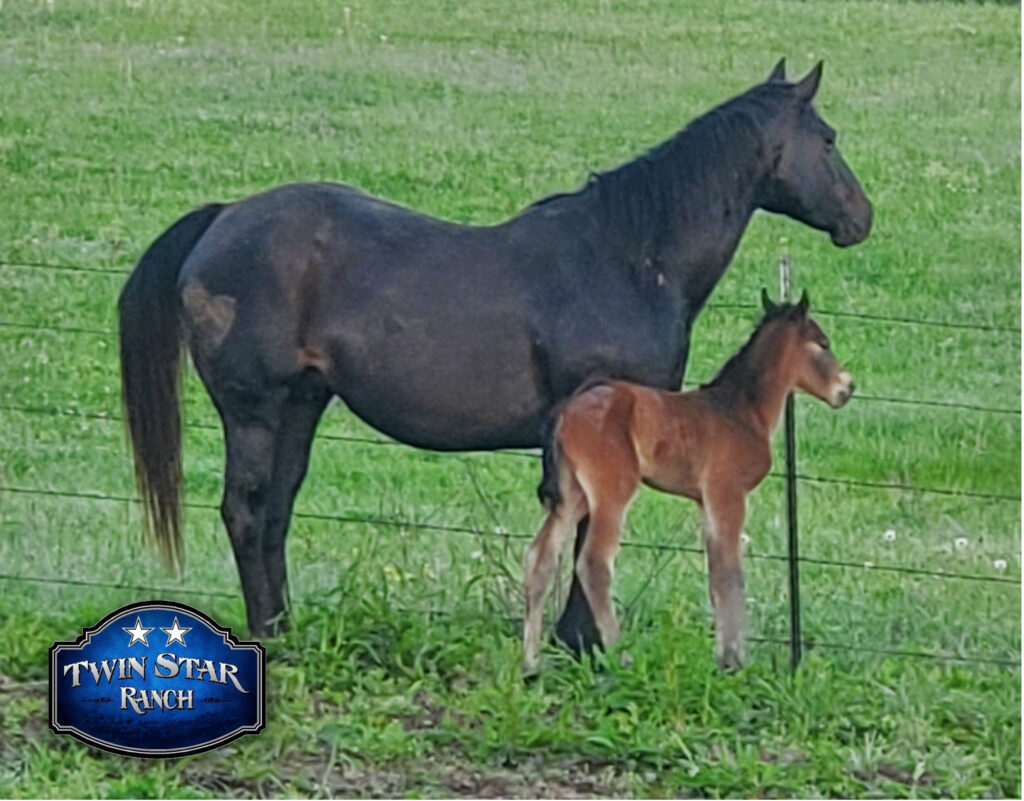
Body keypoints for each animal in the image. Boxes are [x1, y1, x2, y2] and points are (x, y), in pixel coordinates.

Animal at [522, 290, 853, 674]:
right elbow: (731, 575)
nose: (847, 388)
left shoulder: (705, 500)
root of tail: (565, 410)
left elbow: (716, 576)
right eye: (823, 343)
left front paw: (723, 657)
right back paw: (622, 656)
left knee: (540, 558)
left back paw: (530, 665)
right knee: (594, 564)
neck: (741, 410)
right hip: (611, 492)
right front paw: (734, 661)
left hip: (574, 494)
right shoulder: (728, 493)